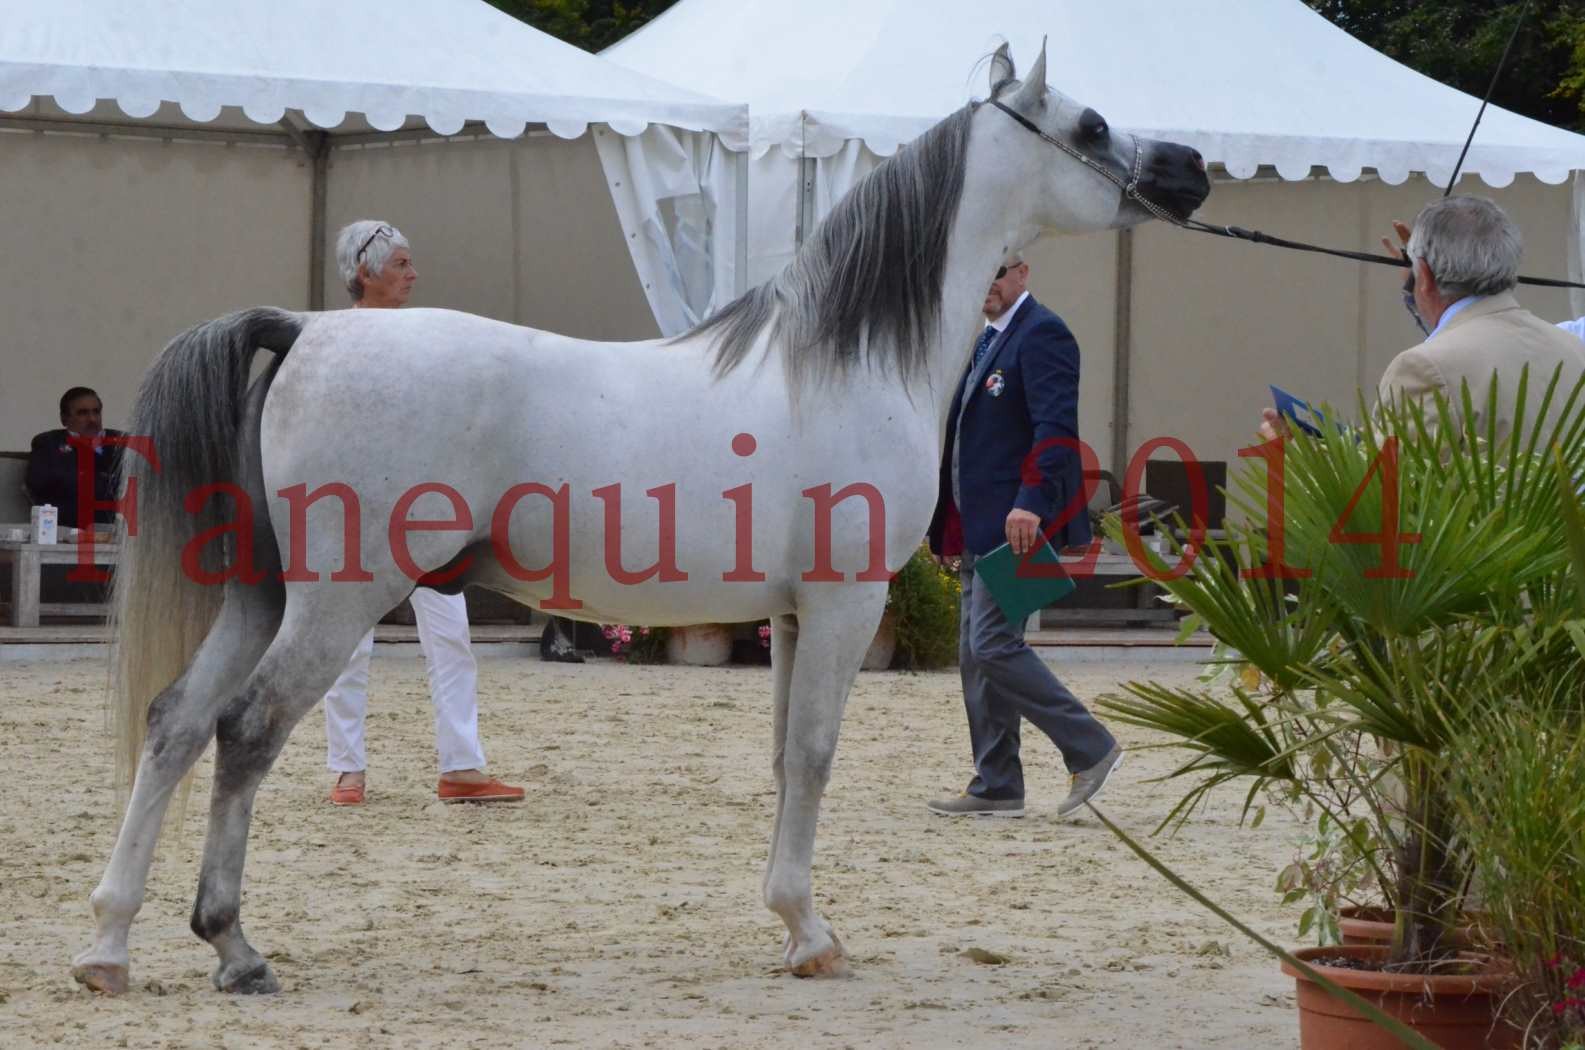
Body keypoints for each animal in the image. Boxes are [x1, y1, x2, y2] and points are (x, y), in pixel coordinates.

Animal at [74, 41, 1204, 996]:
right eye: (1092, 123)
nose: (1188, 167)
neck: (842, 363)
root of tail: (307, 328)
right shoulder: (845, 606)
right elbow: (814, 755)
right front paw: (812, 935)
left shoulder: (789, 615)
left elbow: (785, 758)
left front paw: (788, 925)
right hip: (335, 603)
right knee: (244, 730)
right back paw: (234, 947)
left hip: (262, 596)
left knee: (174, 723)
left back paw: (109, 945)